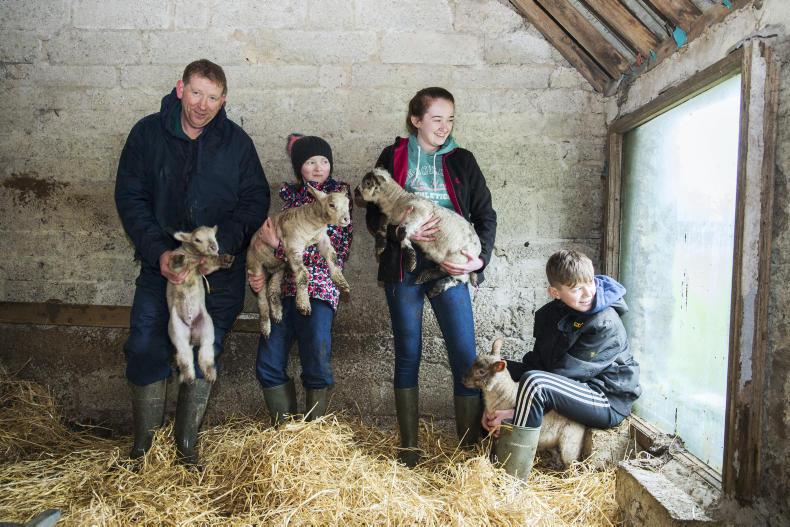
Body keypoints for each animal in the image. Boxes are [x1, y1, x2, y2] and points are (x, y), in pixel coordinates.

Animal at [164, 226, 232, 384]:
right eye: (197, 239)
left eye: (214, 236)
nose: (214, 246)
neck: (193, 257)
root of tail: (192, 333)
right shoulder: (175, 270)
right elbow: (175, 264)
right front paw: (178, 259)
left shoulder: (202, 267)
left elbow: (211, 263)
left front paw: (225, 259)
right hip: (176, 330)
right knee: (184, 355)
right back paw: (189, 377)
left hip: (207, 327)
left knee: (205, 352)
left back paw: (209, 374)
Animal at [244, 186, 350, 338]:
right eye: (331, 205)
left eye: (348, 204)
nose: (346, 219)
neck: (314, 224)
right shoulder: (293, 246)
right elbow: (303, 273)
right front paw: (303, 304)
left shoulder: (323, 239)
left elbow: (333, 257)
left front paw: (342, 283)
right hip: (255, 265)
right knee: (262, 299)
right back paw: (265, 327)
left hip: (279, 268)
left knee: (272, 289)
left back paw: (277, 313)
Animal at [358, 167, 482, 296]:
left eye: (368, 182)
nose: (356, 191)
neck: (397, 201)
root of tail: (477, 252)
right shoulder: (390, 217)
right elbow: (381, 225)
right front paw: (380, 247)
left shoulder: (419, 213)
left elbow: (401, 231)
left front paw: (410, 262)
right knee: (444, 271)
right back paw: (425, 276)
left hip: (459, 261)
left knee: (461, 278)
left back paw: (437, 287)